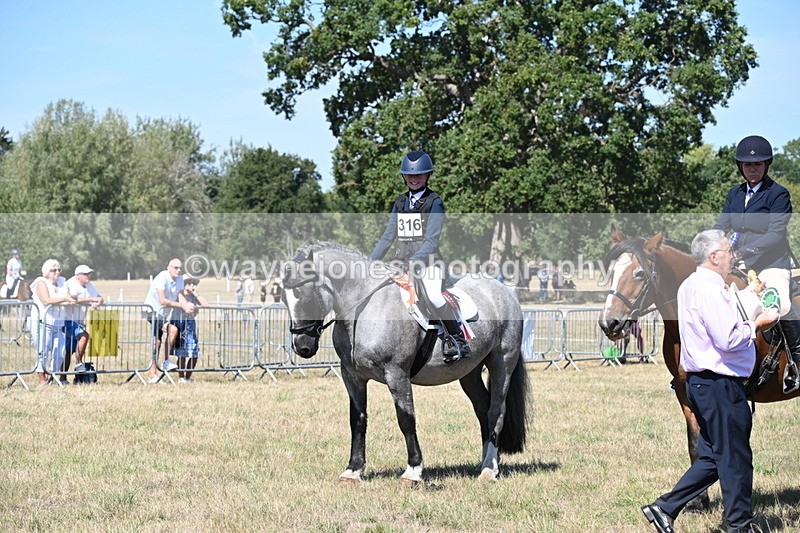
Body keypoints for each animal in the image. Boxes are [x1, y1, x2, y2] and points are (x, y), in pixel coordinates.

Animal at [281, 242, 529, 484]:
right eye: (284, 299)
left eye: (305, 296)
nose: (302, 347)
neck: (364, 309)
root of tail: (505, 292)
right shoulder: (352, 376)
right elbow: (358, 420)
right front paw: (353, 470)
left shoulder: (397, 374)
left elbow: (406, 419)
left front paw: (413, 471)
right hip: (469, 372)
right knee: (482, 409)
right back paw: (487, 463)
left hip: (502, 363)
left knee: (496, 411)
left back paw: (488, 470)